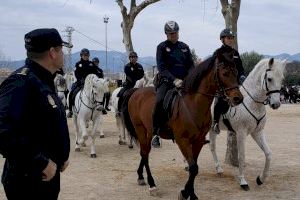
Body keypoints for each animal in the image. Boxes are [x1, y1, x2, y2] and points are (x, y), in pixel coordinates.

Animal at [122, 47, 244, 199]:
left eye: (236, 72)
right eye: (225, 73)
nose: (238, 98)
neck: (193, 105)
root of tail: (136, 91)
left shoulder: (198, 141)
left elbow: (195, 167)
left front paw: (190, 193)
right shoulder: (182, 140)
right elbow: (193, 167)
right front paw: (185, 193)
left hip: (149, 131)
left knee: (145, 152)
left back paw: (140, 176)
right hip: (140, 129)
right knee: (144, 153)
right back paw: (152, 184)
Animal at [209, 58, 286, 191]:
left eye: (281, 79)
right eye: (269, 79)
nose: (276, 104)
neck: (252, 102)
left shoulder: (257, 132)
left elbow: (268, 154)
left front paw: (261, 179)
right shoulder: (241, 133)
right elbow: (242, 156)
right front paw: (243, 182)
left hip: (213, 130)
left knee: (211, 146)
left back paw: (218, 169)